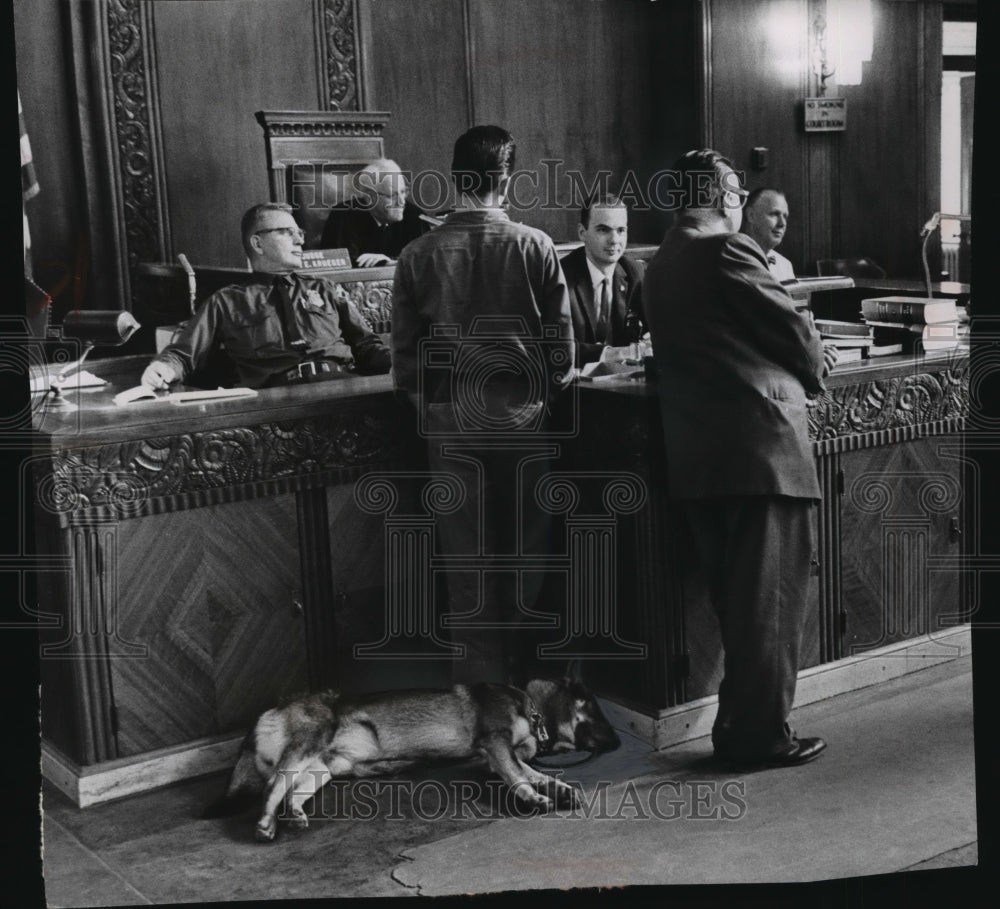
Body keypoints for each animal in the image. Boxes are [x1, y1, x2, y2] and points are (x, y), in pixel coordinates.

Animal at [208, 672, 620, 840]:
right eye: (593, 707)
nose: (618, 743)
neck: (529, 705)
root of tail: (269, 712)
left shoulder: (499, 757)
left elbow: (534, 773)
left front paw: (557, 789)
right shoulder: (496, 743)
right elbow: (520, 777)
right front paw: (533, 798)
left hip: (323, 768)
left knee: (291, 792)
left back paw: (292, 816)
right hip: (310, 742)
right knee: (273, 786)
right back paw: (266, 823)